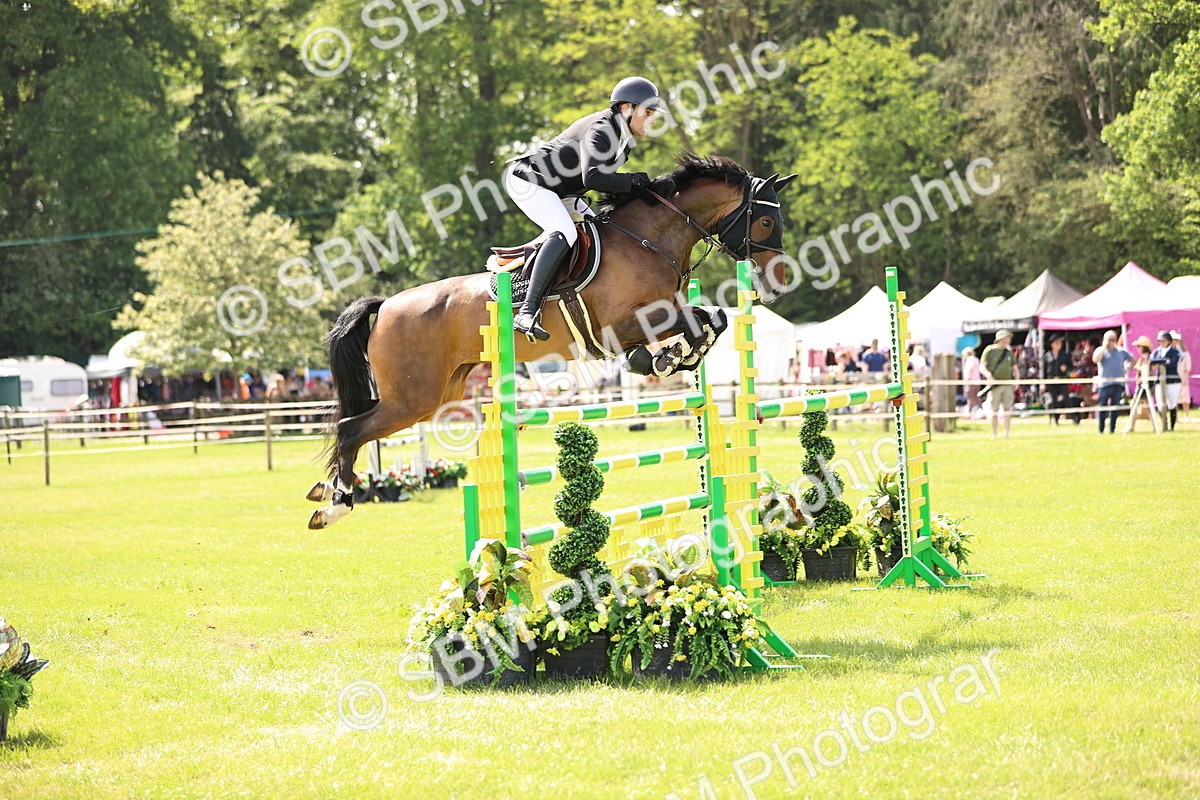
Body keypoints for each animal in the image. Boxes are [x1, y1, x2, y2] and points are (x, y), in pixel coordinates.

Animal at [307, 153, 796, 529]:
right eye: (765, 220)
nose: (778, 283)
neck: (648, 240)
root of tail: (386, 305)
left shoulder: (658, 315)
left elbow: (711, 319)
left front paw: (675, 358)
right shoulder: (621, 325)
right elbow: (696, 322)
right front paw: (663, 359)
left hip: (437, 394)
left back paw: (326, 494)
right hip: (413, 398)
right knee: (350, 429)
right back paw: (335, 505)